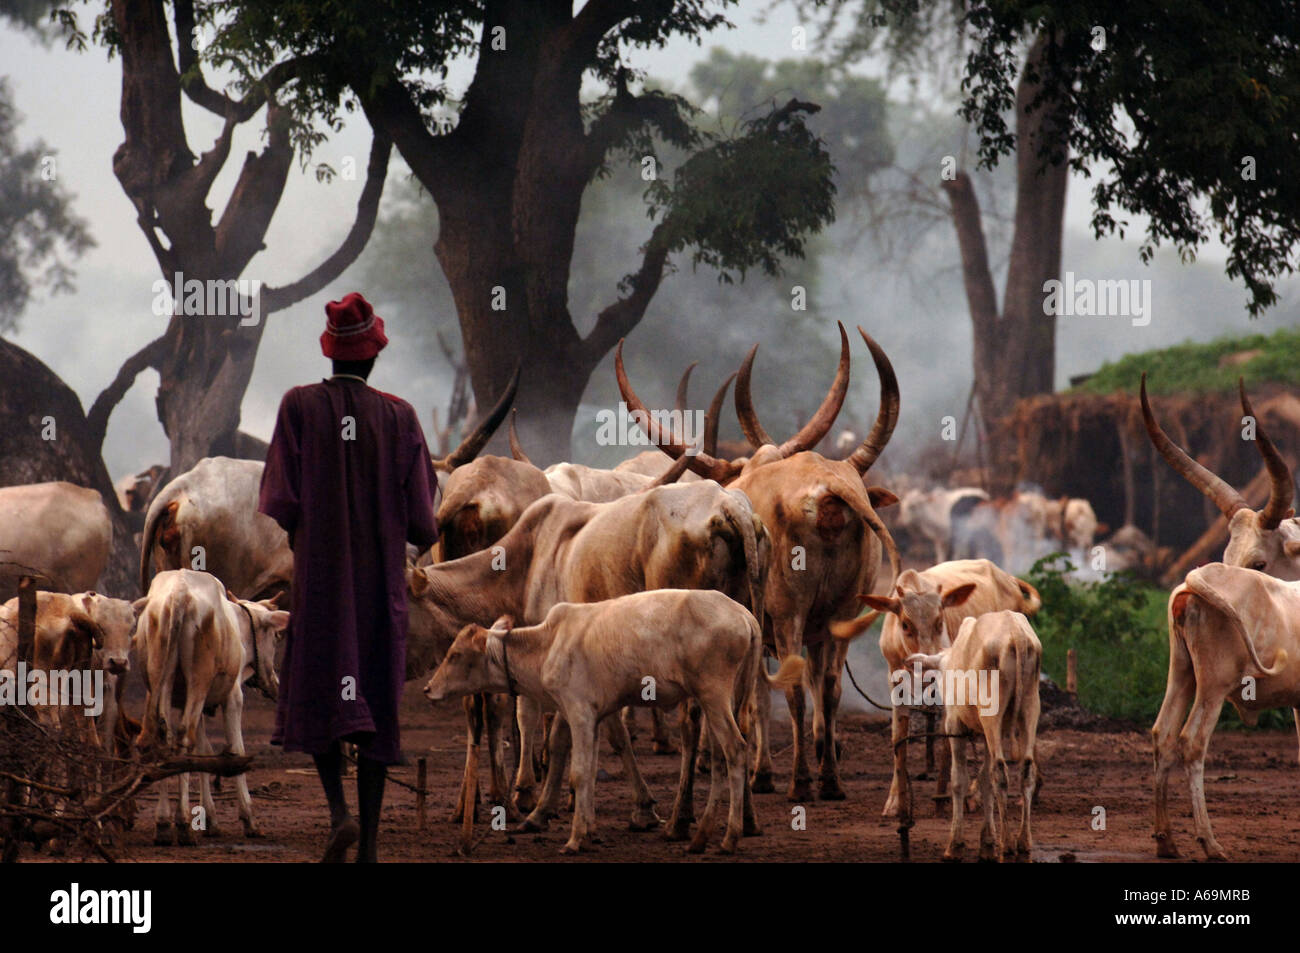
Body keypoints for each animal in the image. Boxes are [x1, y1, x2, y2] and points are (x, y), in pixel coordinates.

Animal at [130, 569, 286, 842]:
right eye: (276, 636)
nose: (274, 683)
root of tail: (179, 595)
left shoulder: (196, 705)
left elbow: (202, 753)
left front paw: (210, 819)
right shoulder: (233, 697)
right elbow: (235, 750)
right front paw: (249, 819)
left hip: (159, 680)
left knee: (164, 741)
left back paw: (164, 823)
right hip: (198, 681)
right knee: (181, 740)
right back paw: (182, 824)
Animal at [618, 323, 904, 800]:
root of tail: (828, 488)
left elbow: (757, 697)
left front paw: (760, 771)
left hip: (788, 612)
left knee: (792, 691)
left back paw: (799, 782)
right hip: (842, 613)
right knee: (829, 687)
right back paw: (829, 780)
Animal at [837, 556, 1040, 826]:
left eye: (940, 621)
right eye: (905, 624)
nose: (930, 672)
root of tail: (1008, 579)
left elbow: (947, 745)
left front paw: (945, 800)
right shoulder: (895, 682)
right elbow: (898, 740)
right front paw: (894, 802)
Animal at [904, 608, 1045, 863]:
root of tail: (1016, 633)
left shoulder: (955, 725)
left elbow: (959, 780)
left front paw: (955, 845)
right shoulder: (987, 734)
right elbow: (984, 781)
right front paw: (986, 843)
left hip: (992, 713)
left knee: (1000, 773)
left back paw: (1007, 843)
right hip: (1029, 709)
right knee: (1025, 770)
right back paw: (1023, 841)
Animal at [1154, 561, 1300, 858]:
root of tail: (1201, 574)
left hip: (1181, 672)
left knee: (1163, 735)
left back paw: (1167, 842)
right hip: (1214, 684)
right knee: (1192, 742)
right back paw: (1210, 843)